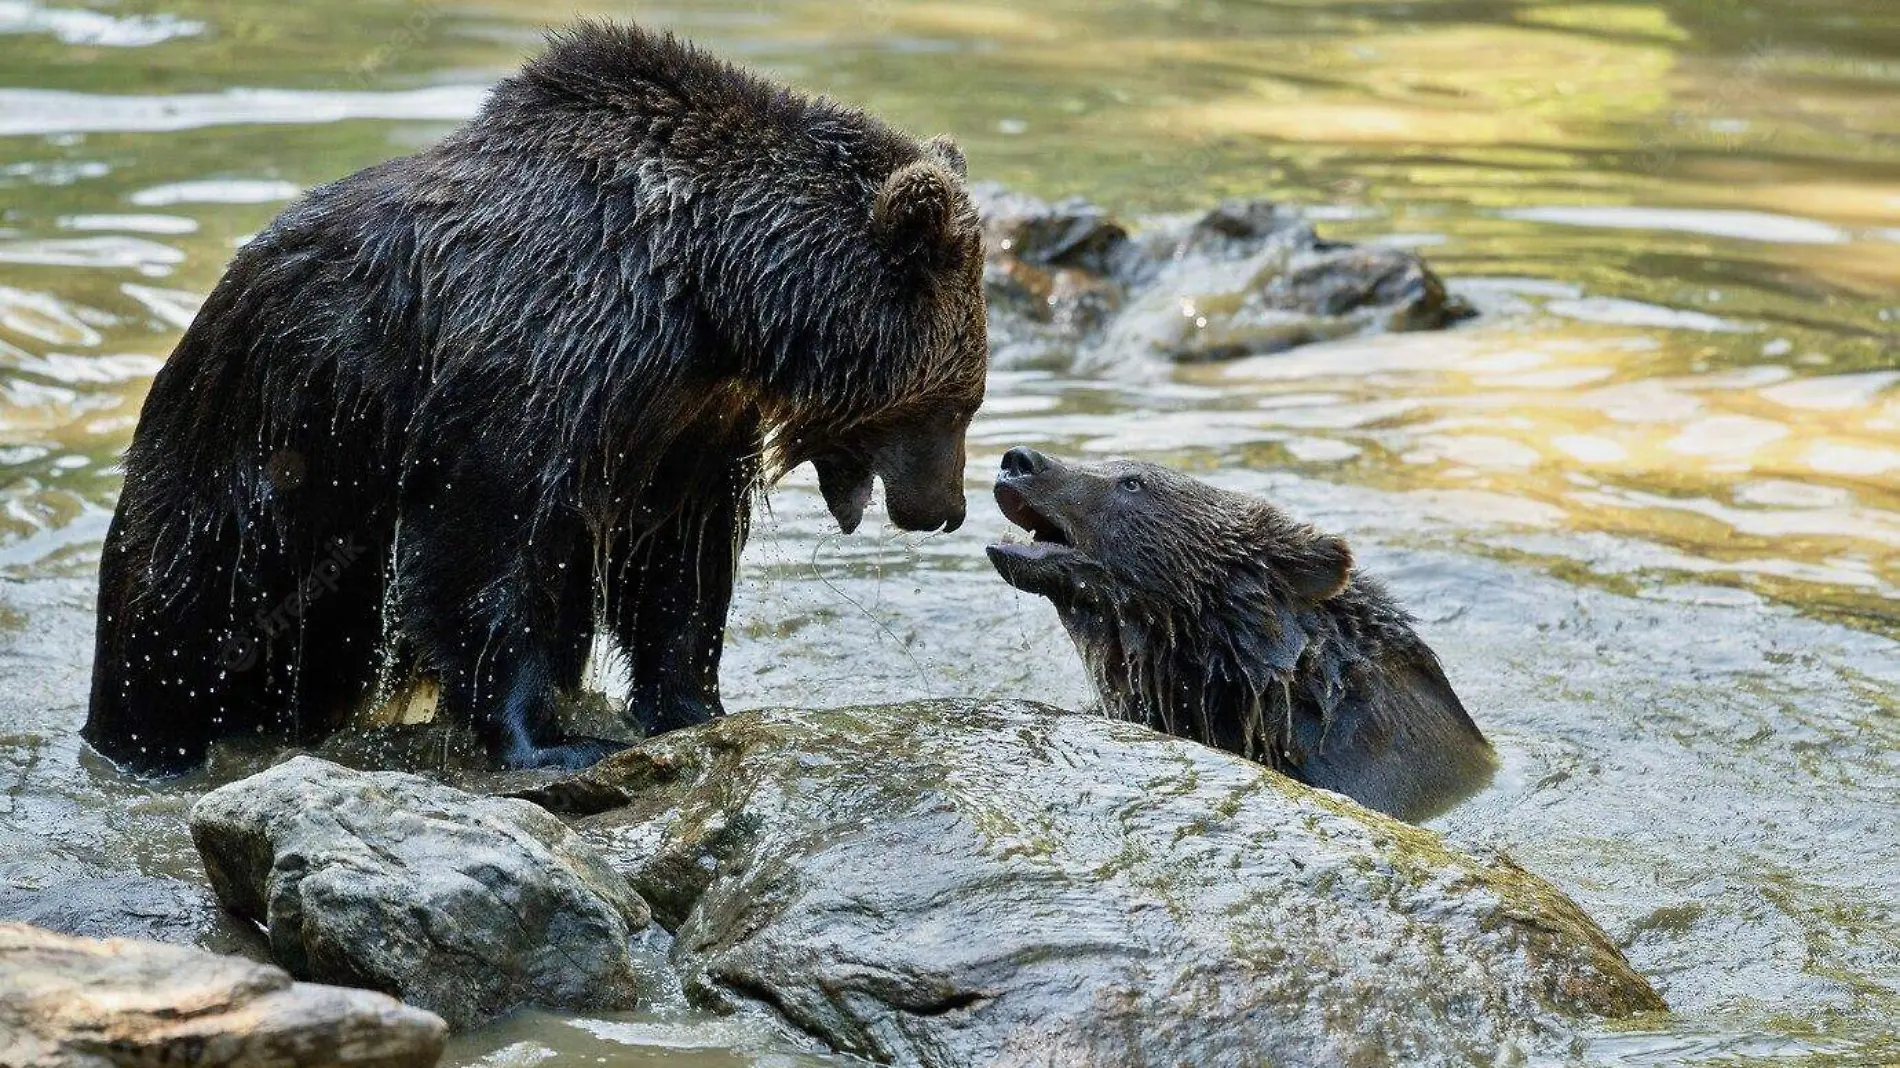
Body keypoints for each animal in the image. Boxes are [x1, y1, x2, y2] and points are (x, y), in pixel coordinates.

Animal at [83, 22, 988, 771]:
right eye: (958, 404)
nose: (946, 509)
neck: (710, 290)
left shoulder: (688, 420)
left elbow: (679, 568)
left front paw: (693, 705)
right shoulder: (528, 362)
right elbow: (485, 548)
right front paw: (548, 741)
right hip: (257, 463)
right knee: (176, 616)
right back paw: (145, 743)